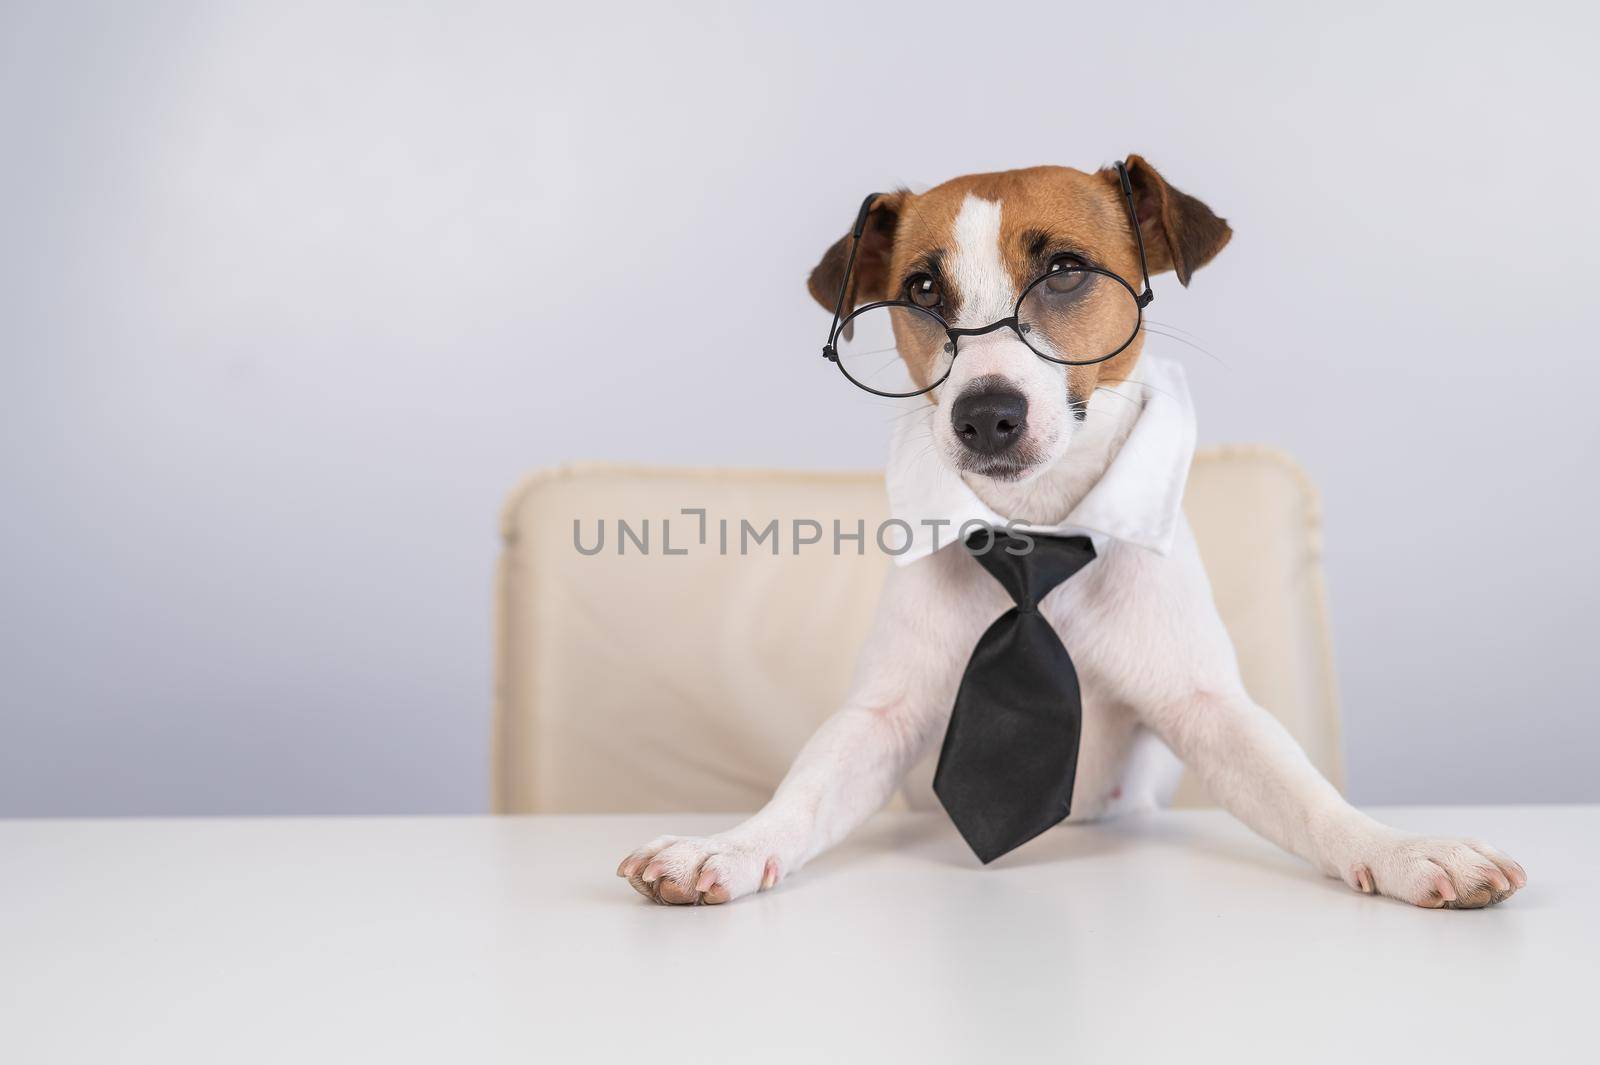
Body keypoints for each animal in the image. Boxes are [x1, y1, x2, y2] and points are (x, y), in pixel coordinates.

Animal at [611, 155, 1523, 901]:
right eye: (923, 291)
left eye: (1064, 270)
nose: (986, 415)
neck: (1039, 522)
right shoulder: (883, 715)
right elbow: (805, 788)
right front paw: (729, 844)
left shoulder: (1207, 707)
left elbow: (1305, 793)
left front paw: (1400, 847)